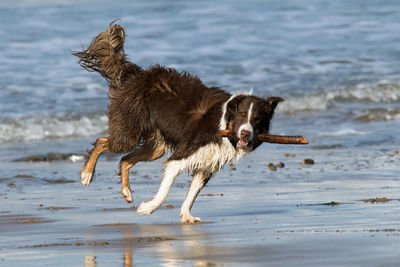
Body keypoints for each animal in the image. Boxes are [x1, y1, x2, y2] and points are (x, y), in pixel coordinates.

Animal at [72, 22, 284, 224]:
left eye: (256, 119)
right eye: (240, 115)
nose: (245, 133)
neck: (223, 124)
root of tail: (137, 74)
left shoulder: (207, 164)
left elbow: (192, 194)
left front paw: (186, 216)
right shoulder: (182, 154)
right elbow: (165, 192)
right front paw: (147, 208)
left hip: (156, 147)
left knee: (125, 159)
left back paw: (126, 192)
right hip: (130, 131)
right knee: (103, 142)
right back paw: (86, 175)